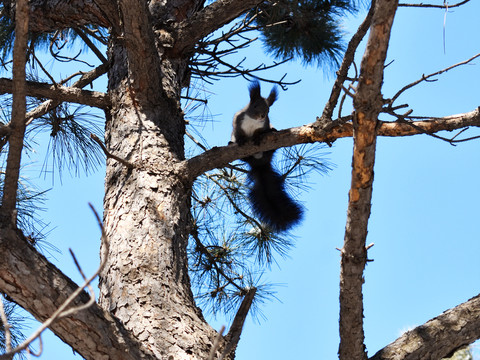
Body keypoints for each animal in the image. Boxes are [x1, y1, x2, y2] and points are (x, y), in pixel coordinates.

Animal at [230, 80, 304, 232]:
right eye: (255, 106)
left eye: (268, 110)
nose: (262, 116)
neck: (253, 121)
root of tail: (260, 164)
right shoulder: (237, 121)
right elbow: (238, 132)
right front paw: (240, 140)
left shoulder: (264, 125)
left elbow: (261, 131)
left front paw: (258, 136)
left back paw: (273, 132)